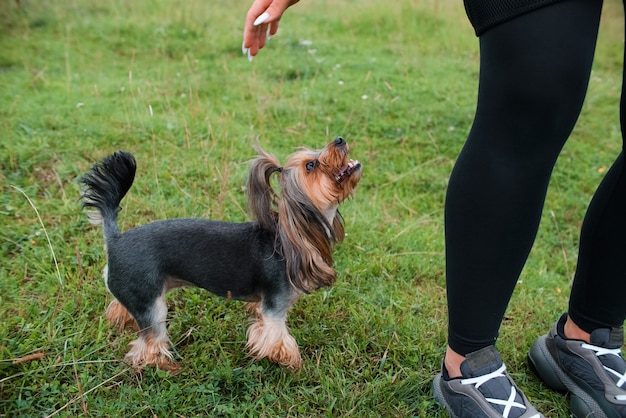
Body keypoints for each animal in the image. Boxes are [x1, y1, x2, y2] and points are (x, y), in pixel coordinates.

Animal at [79, 136, 360, 370]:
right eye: (311, 165)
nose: (340, 139)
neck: (294, 235)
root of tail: (115, 241)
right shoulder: (274, 308)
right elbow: (277, 339)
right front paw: (291, 363)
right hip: (151, 304)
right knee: (148, 343)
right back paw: (165, 365)